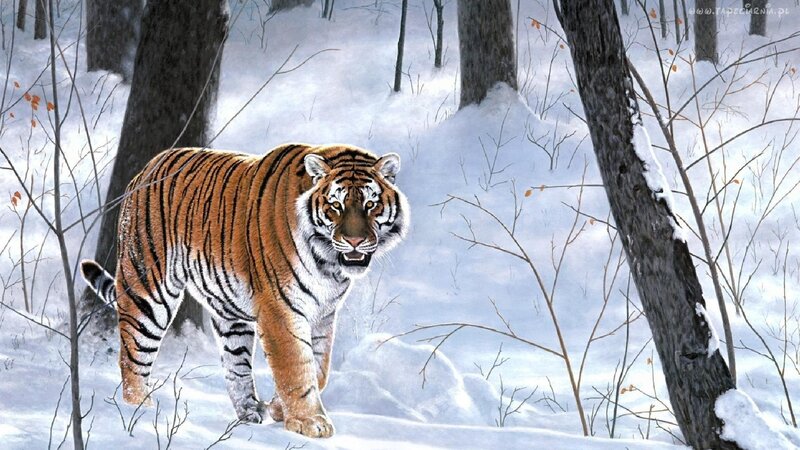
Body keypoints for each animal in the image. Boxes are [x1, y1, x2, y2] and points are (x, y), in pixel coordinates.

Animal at [80, 143, 408, 438]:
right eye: (335, 206)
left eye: (370, 205)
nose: (354, 242)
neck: (328, 265)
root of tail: (145, 169)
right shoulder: (281, 309)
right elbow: (295, 365)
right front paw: (309, 423)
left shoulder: (323, 314)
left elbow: (318, 367)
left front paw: (279, 409)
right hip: (147, 290)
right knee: (133, 355)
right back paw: (140, 411)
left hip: (229, 312)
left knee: (235, 366)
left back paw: (250, 413)